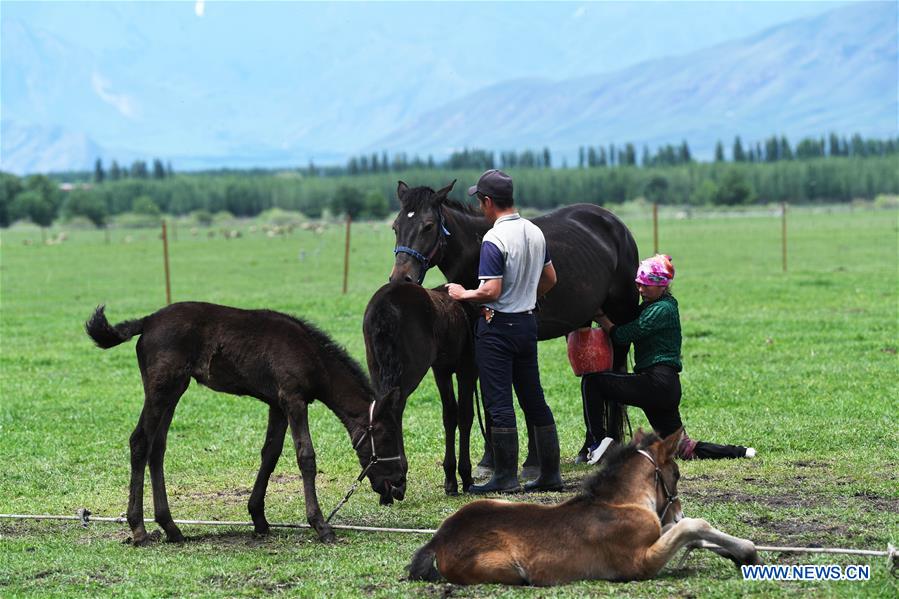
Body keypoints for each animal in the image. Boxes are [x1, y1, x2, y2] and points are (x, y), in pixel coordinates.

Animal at [86, 302, 406, 548]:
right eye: (387, 436)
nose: (400, 485)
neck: (313, 357)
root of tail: (149, 320)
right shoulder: (293, 399)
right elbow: (306, 457)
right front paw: (320, 525)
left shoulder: (277, 404)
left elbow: (270, 454)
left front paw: (259, 518)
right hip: (161, 388)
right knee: (140, 441)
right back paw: (139, 529)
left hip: (174, 388)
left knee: (157, 447)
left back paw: (171, 528)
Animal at [390, 183, 644, 464]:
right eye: (396, 227)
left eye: (428, 226)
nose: (401, 278)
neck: (478, 253)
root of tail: (616, 225)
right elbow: (489, 396)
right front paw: (490, 458)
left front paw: (530, 457)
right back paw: (587, 447)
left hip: (621, 315)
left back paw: (611, 442)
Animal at [408, 428, 760, 588]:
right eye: (677, 474)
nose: (677, 510)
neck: (618, 502)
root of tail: (438, 539)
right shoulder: (639, 564)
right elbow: (693, 526)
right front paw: (747, 551)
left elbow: (691, 532)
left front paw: (737, 553)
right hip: (507, 569)